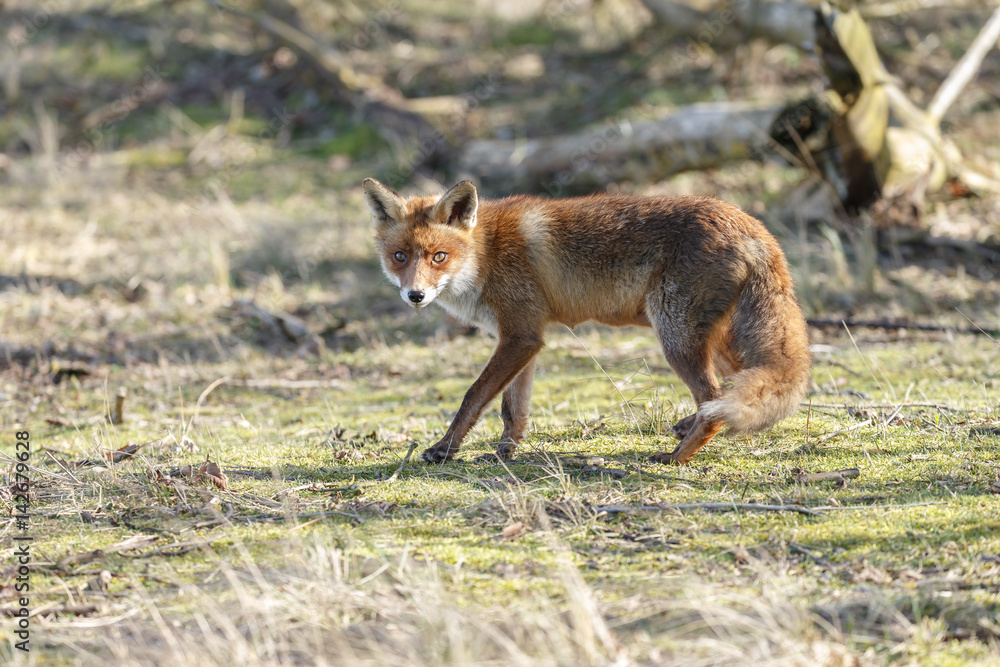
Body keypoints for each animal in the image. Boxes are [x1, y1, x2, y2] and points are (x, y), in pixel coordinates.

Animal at [364, 180, 808, 468]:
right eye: (400, 257)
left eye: (438, 256)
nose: (415, 296)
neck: (486, 254)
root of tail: (749, 222)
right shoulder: (526, 338)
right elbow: (512, 410)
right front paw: (505, 452)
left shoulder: (519, 336)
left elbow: (472, 398)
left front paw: (444, 449)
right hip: (711, 339)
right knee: (737, 389)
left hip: (675, 336)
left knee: (713, 400)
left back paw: (675, 458)